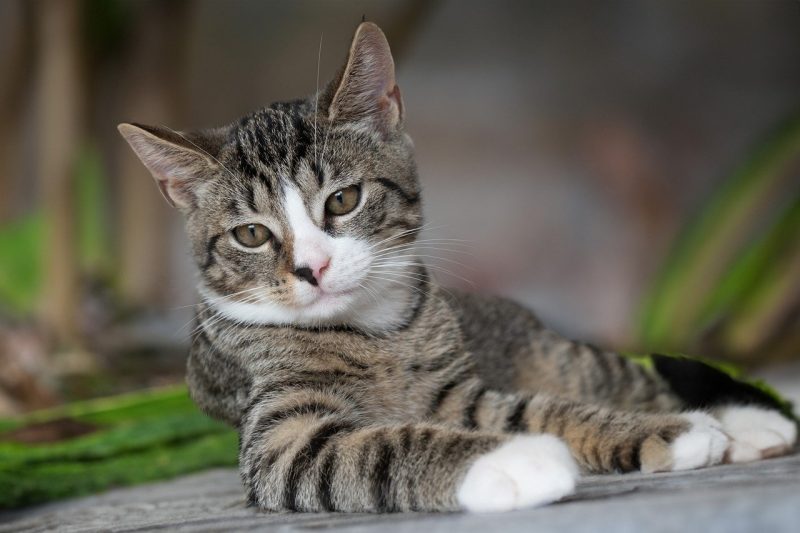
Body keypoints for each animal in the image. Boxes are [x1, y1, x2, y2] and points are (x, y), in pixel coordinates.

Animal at [117, 22, 792, 512]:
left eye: (343, 200)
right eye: (252, 235)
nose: (312, 268)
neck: (374, 334)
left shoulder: (455, 394)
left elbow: (537, 409)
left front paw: (670, 431)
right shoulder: (279, 439)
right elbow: (376, 446)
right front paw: (513, 461)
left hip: (553, 352)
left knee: (620, 376)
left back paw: (742, 421)